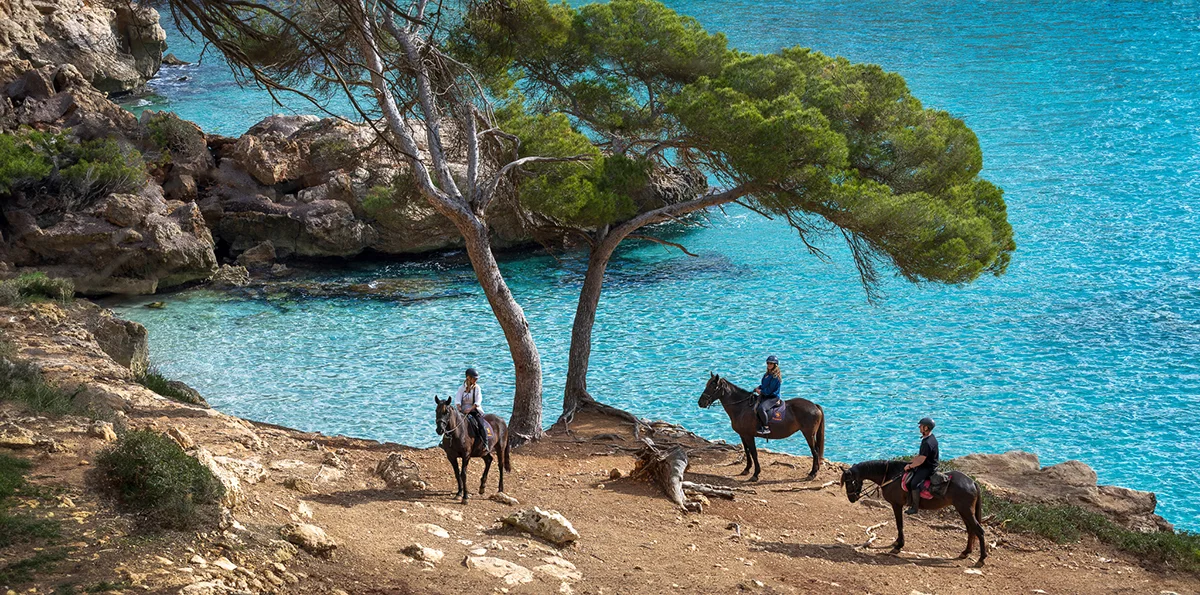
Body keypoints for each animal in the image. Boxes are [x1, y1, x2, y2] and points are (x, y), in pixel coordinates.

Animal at [840, 460, 987, 566]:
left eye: (850, 482)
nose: (851, 498)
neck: (891, 476)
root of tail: (972, 482)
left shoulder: (896, 505)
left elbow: (899, 525)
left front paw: (898, 546)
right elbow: (899, 525)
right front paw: (897, 543)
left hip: (965, 510)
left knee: (979, 531)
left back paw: (981, 559)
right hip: (964, 511)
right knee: (971, 530)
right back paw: (966, 552)